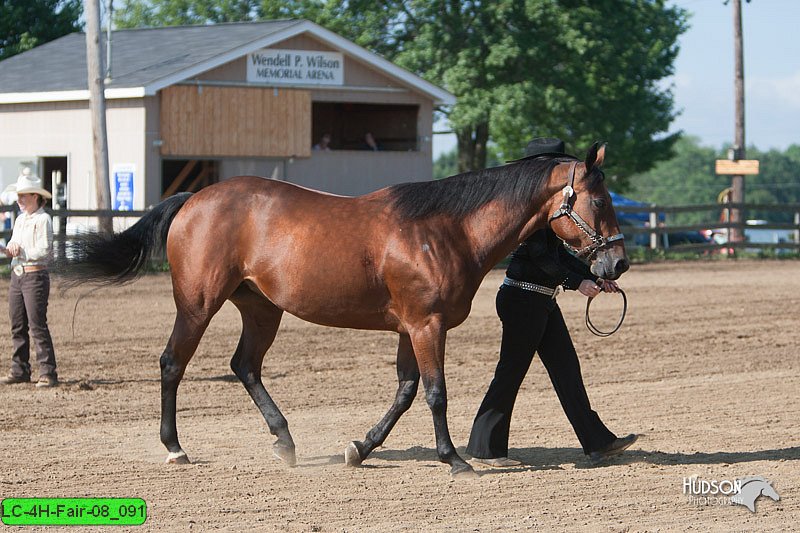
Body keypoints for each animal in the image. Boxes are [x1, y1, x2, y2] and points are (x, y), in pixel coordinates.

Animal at [62, 139, 628, 476]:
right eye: (600, 200)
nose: (617, 263)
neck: (445, 229)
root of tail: (193, 199)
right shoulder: (427, 325)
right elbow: (436, 393)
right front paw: (453, 460)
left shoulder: (409, 329)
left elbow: (405, 392)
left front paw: (360, 448)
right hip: (198, 304)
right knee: (172, 364)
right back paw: (175, 447)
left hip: (262, 308)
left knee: (245, 366)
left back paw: (285, 443)